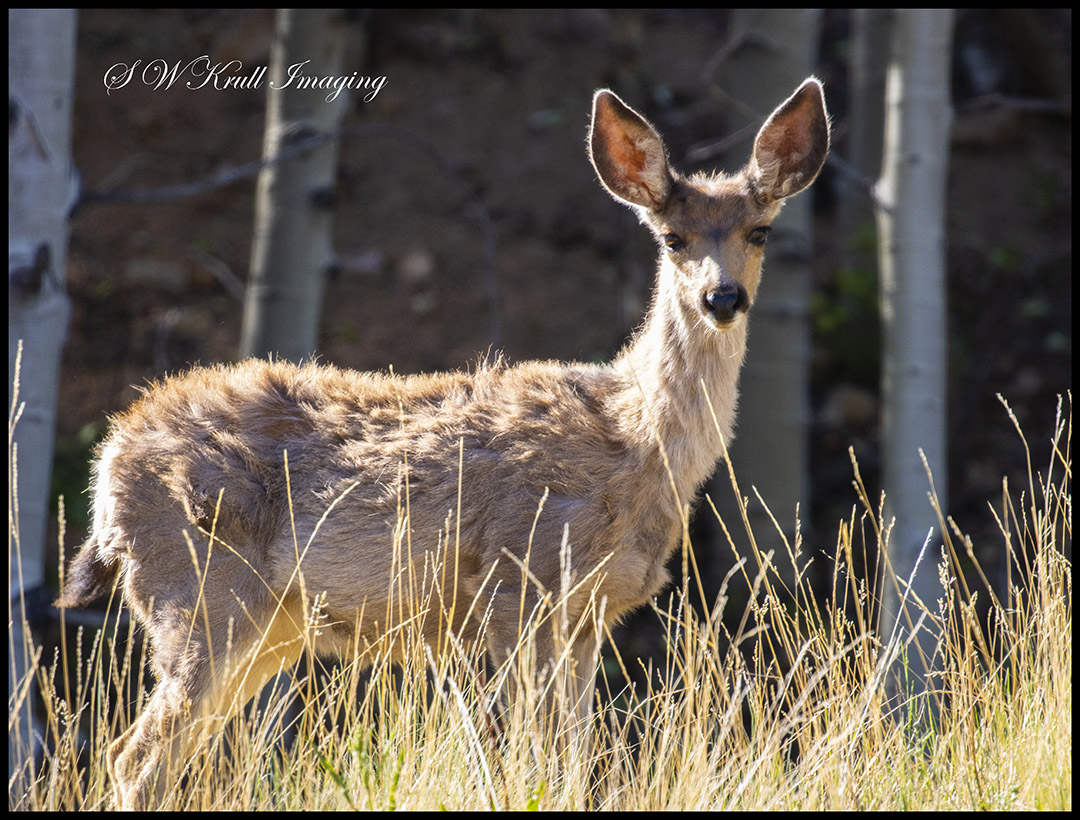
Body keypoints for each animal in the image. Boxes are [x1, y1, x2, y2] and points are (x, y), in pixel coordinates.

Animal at [57, 78, 829, 809]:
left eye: (760, 231)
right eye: (673, 238)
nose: (722, 298)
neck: (634, 444)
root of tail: (109, 465)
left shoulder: (591, 615)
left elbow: (574, 766)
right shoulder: (518, 587)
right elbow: (532, 766)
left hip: (270, 626)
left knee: (156, 755)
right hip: (200, 592)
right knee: (134, 757)